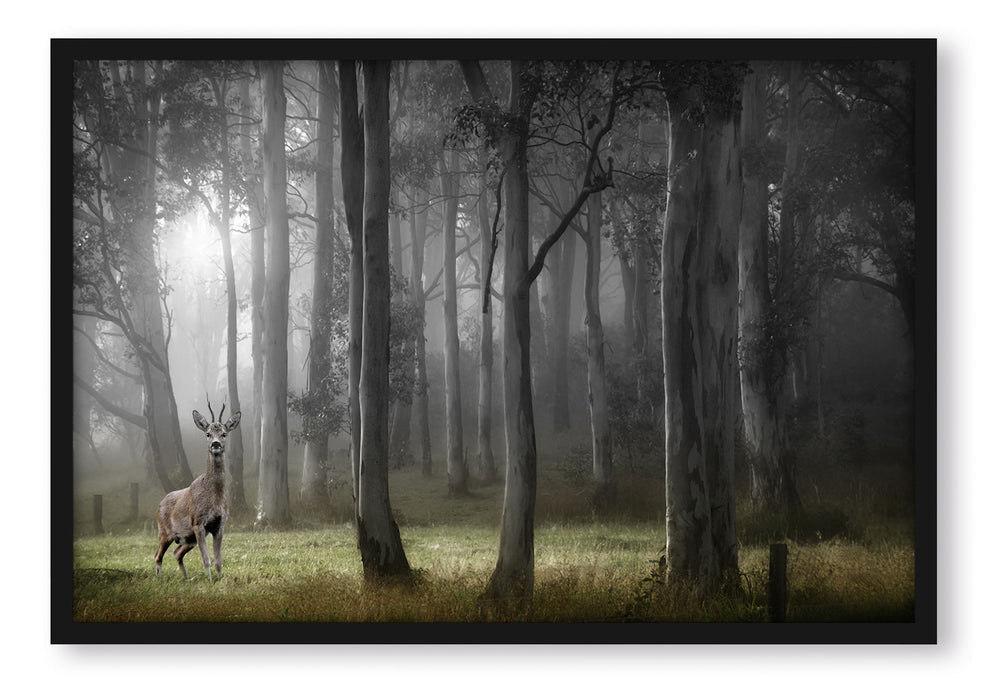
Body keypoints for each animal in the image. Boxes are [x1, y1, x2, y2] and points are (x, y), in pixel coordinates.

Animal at [154, 401, 240, 582]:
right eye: (208, 434)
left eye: (224, 434)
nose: (216, 444)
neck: (215, 497)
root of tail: (159, 504)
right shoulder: (198, 522)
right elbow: (206, 559)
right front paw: (210, 581)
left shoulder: (220, 524)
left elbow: (218, 560)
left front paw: (220, 579)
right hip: (165, 532)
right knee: (158, 555)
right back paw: (159, 578)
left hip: (187, 539)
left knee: (176, 553)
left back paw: (186, 578)